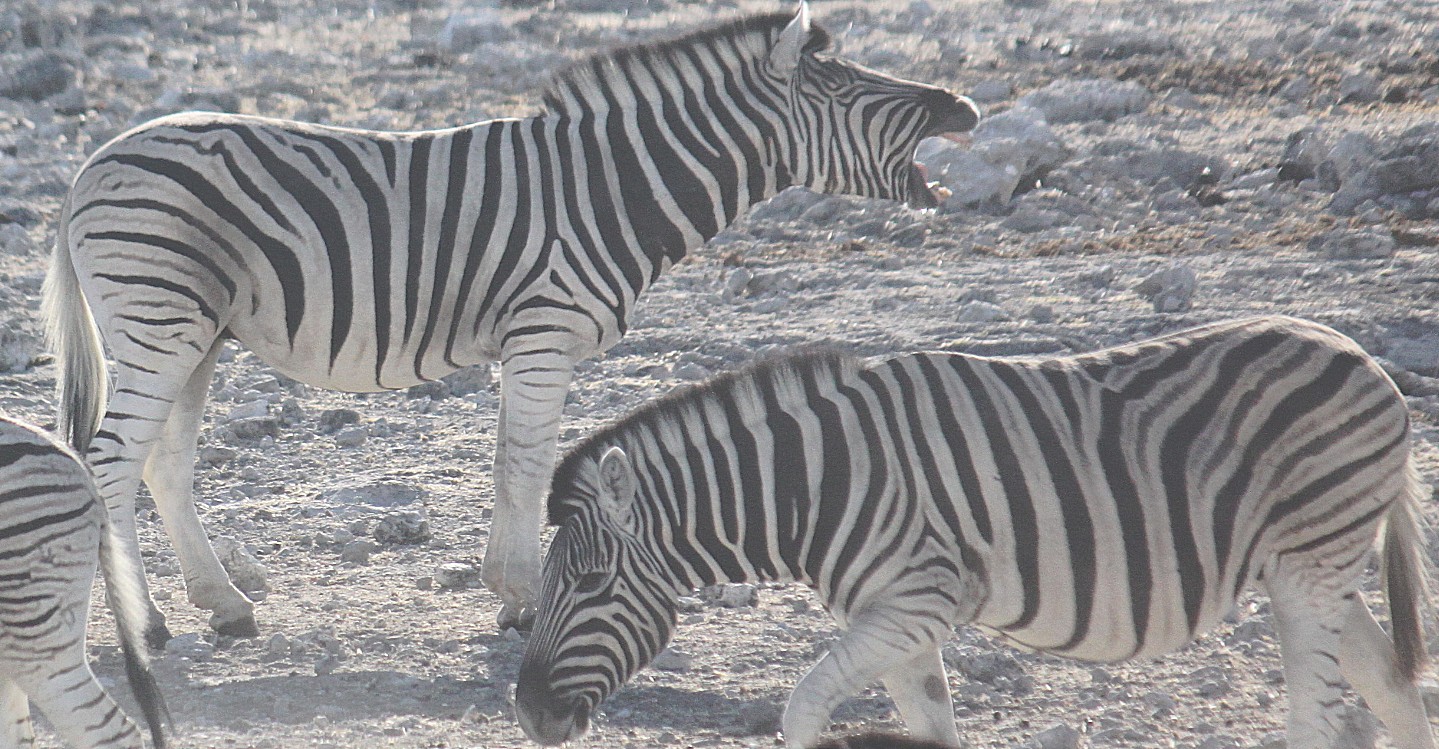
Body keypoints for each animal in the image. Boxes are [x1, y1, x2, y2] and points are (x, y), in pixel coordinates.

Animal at [39, 2, 978, 638]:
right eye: (847, 84)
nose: (964, 107)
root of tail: (89, 165)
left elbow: (505, 458)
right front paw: (524, 601)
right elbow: (525, 463)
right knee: (111, 460)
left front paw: (506, 588)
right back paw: (144, 626)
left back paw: (224, 605)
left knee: (163, 463)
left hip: (193, 334)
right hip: (161, 320)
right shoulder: (545, 331)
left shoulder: (526, 342)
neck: (614, 188)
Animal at [518, 314, 1439, 747]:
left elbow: (804, 704)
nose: (526, 712)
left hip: (1308, 564)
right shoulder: (898, 621)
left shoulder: (919, 598)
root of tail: (1358, 354)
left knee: (1321, 712)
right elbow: (931, 726)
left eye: (588, 582)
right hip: (1315, 572)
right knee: (1392, 689)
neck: (813, 482)